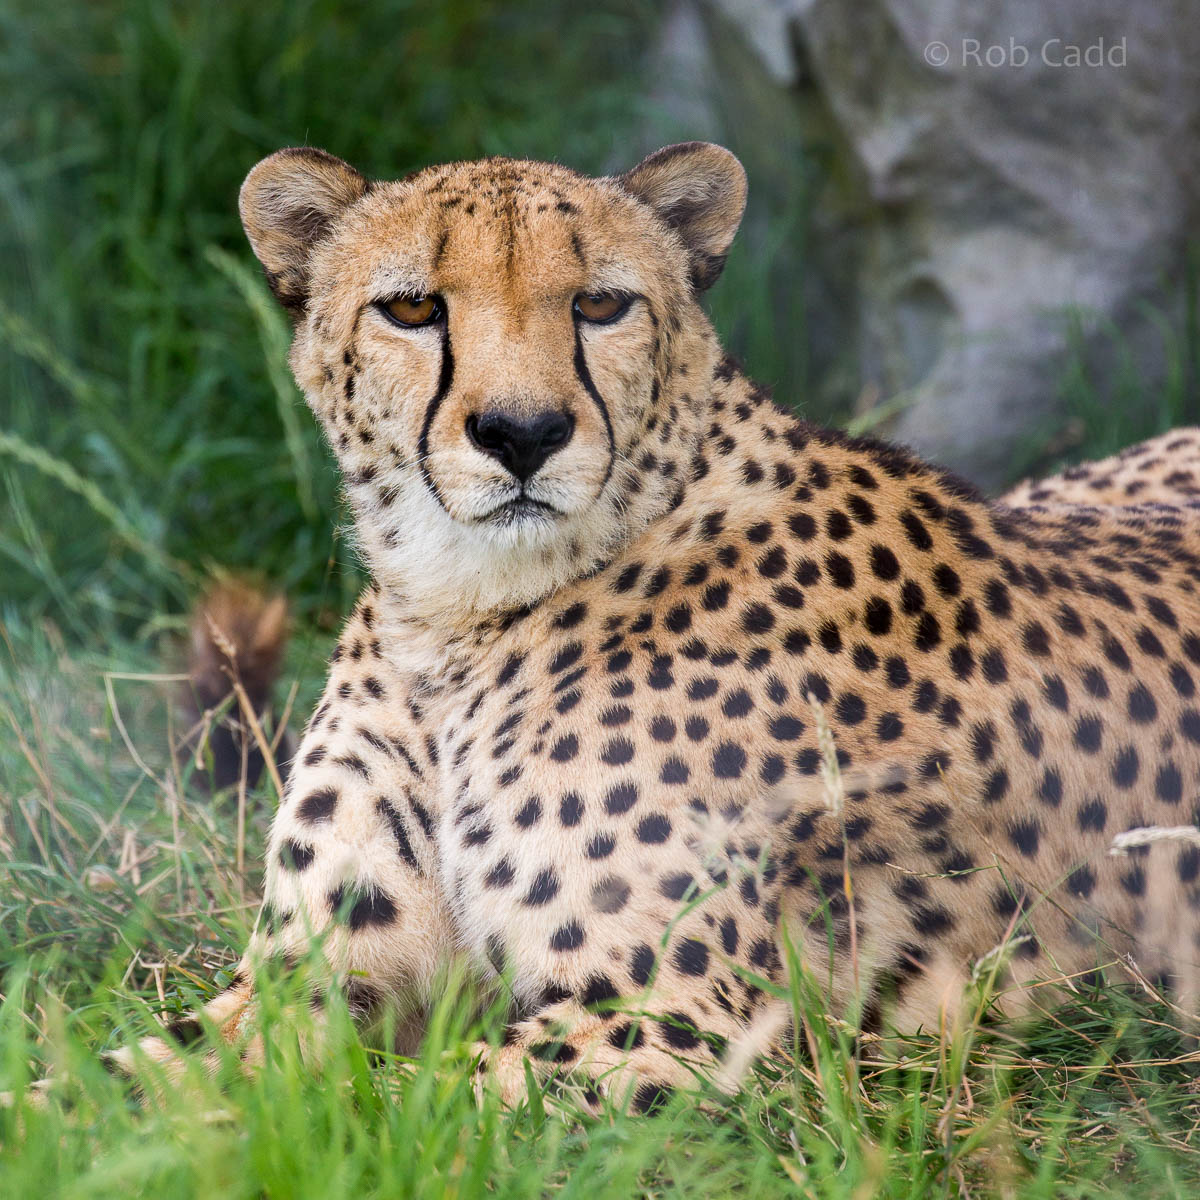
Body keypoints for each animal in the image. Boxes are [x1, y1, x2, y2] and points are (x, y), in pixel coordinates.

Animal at [117, 141, 1200, 1114]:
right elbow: (128, 1084)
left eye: (600, 305)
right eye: (414, 308)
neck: (460, 615)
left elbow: (399, 1104)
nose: (522, 434)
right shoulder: (307, 970)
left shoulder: (678, 1021)